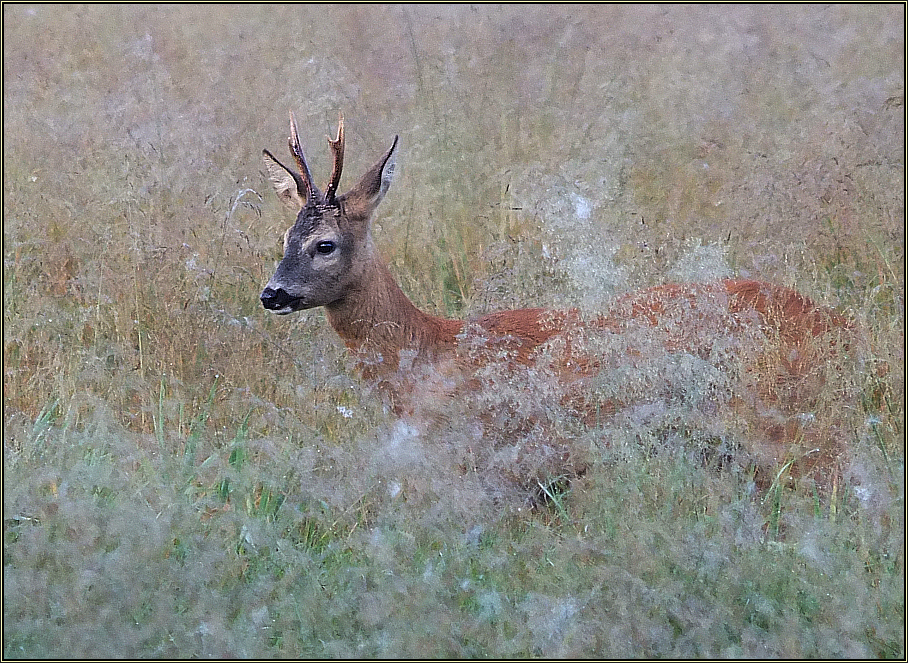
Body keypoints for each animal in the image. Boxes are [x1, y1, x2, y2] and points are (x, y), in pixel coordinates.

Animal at [258, 113, 856, 488]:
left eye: (324, 244)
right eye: (284, 237)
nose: (271, 293)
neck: (433, 354)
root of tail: (837, 324)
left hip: (789, 421)